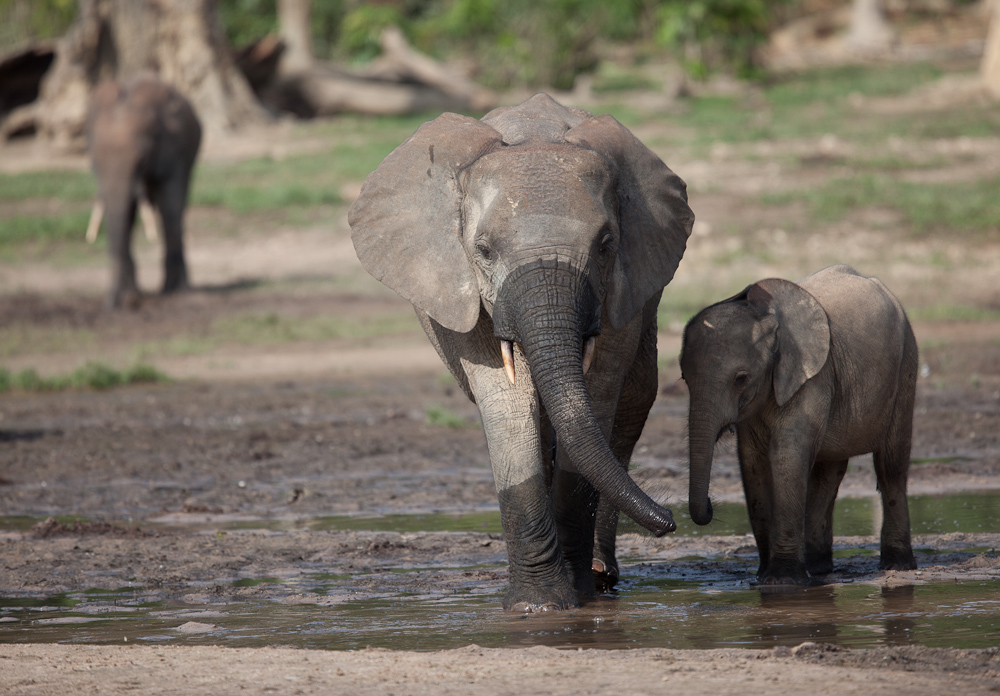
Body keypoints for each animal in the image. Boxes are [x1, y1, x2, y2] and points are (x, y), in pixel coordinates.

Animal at [87, 74, 202, 310]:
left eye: (142, 161)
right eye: (94, 163)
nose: (111, 305)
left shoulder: (174, 148)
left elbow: (170, 202)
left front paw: (177, 293)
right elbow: (126, 215)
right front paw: (130, 296)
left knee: (174, 208)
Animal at [352, 95, 696, 612]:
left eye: (606, 245)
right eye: (483, 250)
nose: (671, 519)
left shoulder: (621, 290)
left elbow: (598, 393)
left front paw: (574, 599)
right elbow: (507, 406)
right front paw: (538, 607)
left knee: (633, 401)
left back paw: (600, 578)